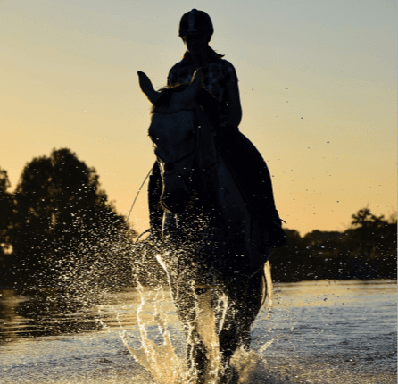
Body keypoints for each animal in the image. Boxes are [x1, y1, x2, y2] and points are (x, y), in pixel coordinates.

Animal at [138, 67, 274, 382]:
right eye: (153, 134)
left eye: (192, 130)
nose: (173, 198)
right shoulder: (180, 278)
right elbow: (194, 337)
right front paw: (195, 373)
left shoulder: (237, 278)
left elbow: (226, 337)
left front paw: (225, 374)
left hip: (246, 279)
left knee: (242, 329)